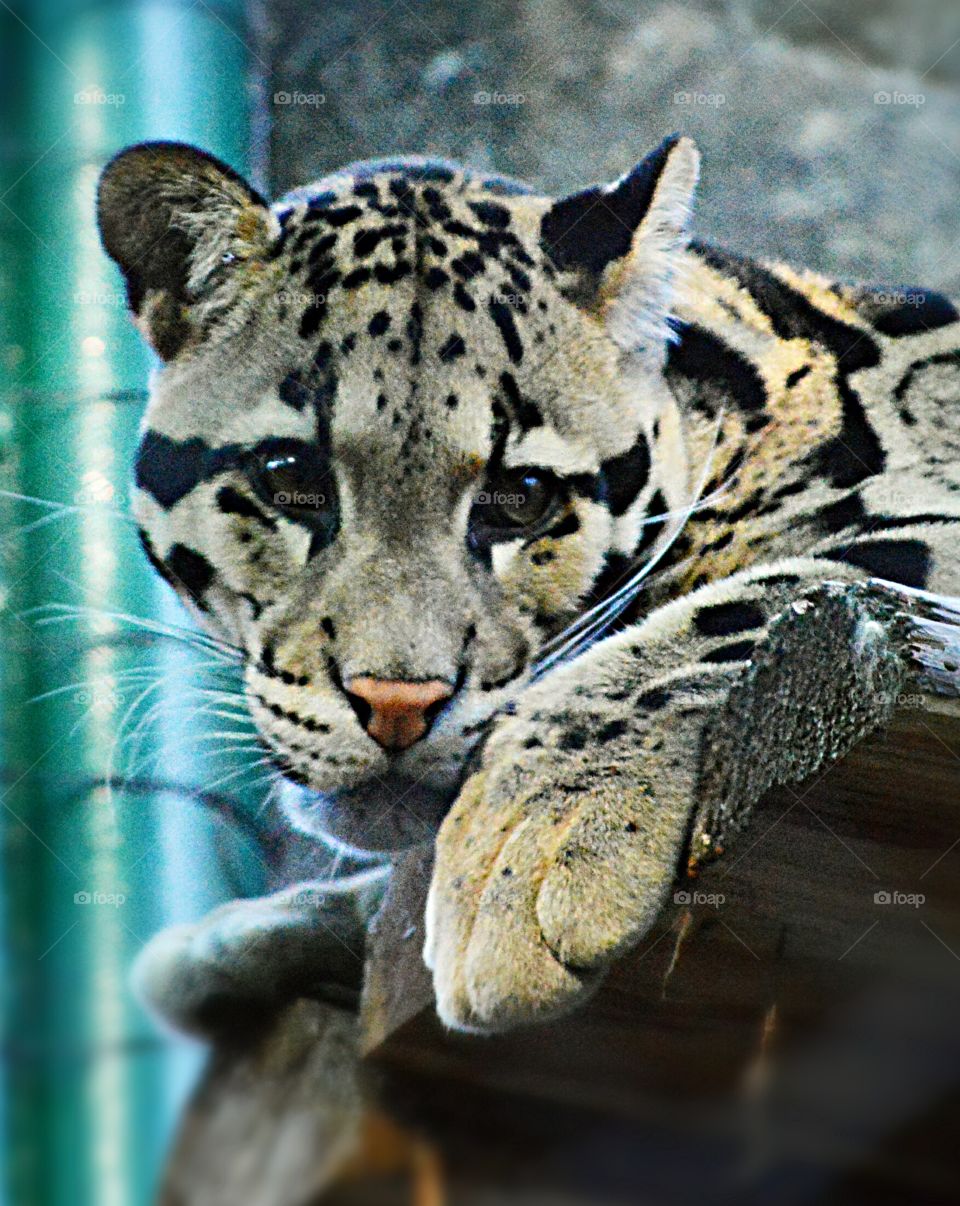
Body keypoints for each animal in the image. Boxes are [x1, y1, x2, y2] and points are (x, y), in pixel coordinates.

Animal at [97, 134, 960, 1035]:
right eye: (289, 476)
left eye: (522, 498)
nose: (396, 704)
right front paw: (238, 937)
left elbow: (764, 592)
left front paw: (535, 831)